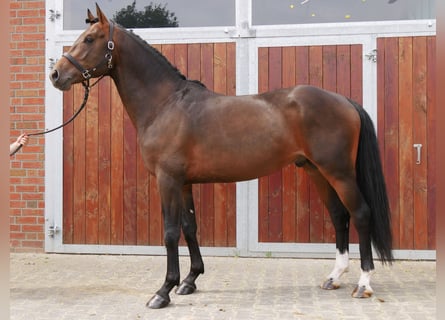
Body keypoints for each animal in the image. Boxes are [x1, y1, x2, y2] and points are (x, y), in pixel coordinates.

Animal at [49, 5, 392, 308]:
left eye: (90, 38)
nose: (55, 74)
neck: (165, 104)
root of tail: (344, 100)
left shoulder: (167, 180)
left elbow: (170, 233)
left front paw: (163, 291)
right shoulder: (184, 183)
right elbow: (190, 227)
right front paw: (190, 281)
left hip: (339, 172)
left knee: (361, 214)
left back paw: (363, 284)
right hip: (316, 171)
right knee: (339, 216)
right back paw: (334, 277)